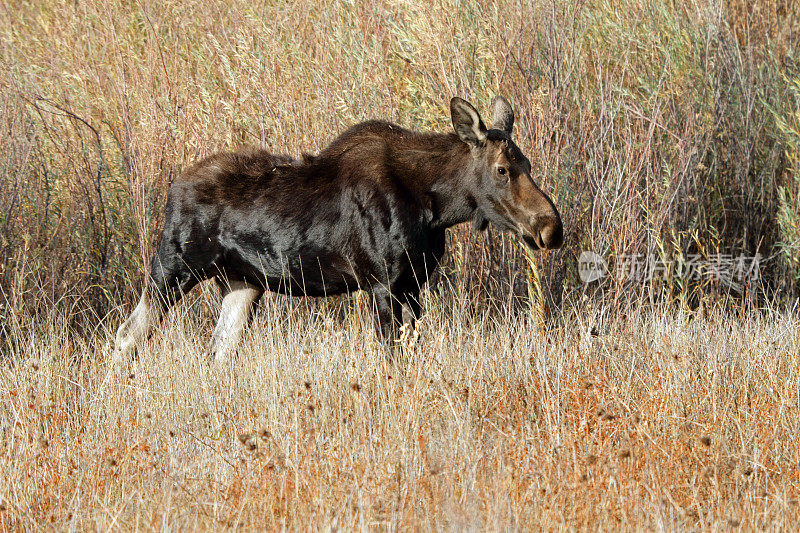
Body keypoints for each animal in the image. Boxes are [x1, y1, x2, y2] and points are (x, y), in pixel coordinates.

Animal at [114, 95, 564, 364]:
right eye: (502, 169)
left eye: (528, 164)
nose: (550, 227)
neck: (435, 208)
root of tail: (171, 189)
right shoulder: (381, 281)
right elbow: (393, 355)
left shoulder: (413, 283)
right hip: (173, 266)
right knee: (126, 334)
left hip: (242, 283)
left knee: (219, 349)